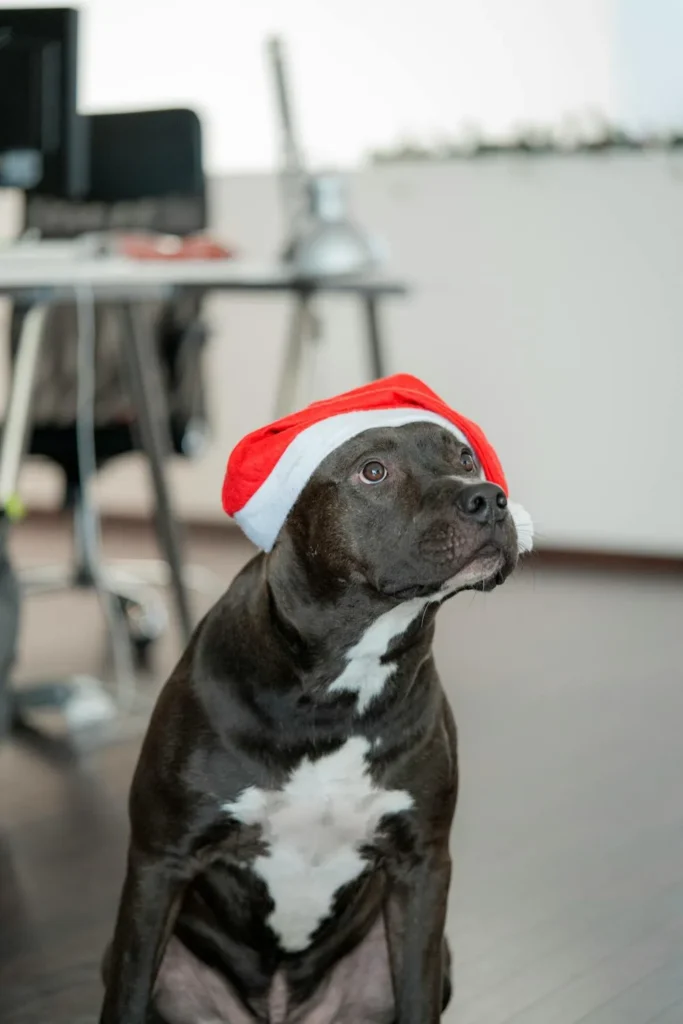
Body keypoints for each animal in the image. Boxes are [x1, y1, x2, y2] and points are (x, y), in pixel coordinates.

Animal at [98, 399, 532, 1024]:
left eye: (465, 457)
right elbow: (128, 995)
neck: (337, 696)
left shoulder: (421, 868)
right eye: (372, 471)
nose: (489, 497)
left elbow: (417, 994)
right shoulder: (161, 861)